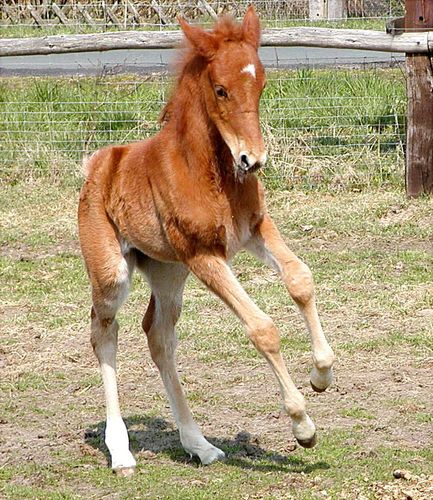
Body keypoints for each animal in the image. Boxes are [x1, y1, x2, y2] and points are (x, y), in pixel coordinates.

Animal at [78, 7, 334, 476]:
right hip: (113, 273)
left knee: (158, 336)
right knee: (103, 332)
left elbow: (300, 279)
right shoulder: (205, 255)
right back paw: (121, 452)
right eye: (221, 90)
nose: (253, 159)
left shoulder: (254, 230)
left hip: (168, 272)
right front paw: (302, 425)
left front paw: (322, 374)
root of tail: (99, 164)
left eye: (261, 83)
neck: (207, 171)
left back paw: (199, 445)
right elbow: (262, 327)